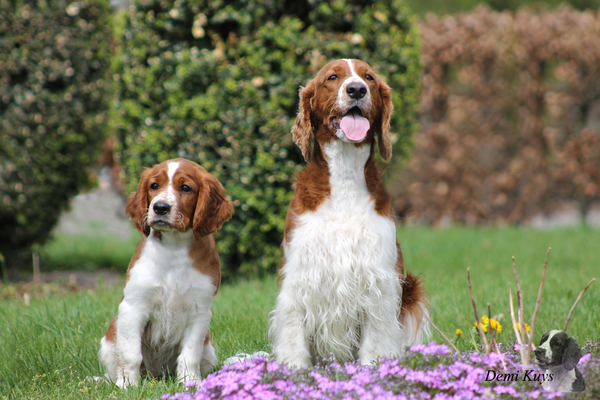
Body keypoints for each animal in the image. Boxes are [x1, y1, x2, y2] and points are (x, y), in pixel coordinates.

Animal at [98, 159, 232, 388]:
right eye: (154, 185)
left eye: (185, 188)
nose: (160, 207)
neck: (174, 246)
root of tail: (157, 377)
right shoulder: (133, 306)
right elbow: (130, 354)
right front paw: (128, 386)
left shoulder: (200, 312)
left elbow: (189, 355)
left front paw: (190, 383)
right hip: (111, 333)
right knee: (114, 367)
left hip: (209, 346)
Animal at [270, 57, 428, 368]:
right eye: (332, 77)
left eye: (369, 78)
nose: (356, 89)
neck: (344, 176)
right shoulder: (300, 272)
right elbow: (293, 328)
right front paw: (294, 369)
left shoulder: (379, 275)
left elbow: (377, 333)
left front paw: (372, 368)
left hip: (412, 292)